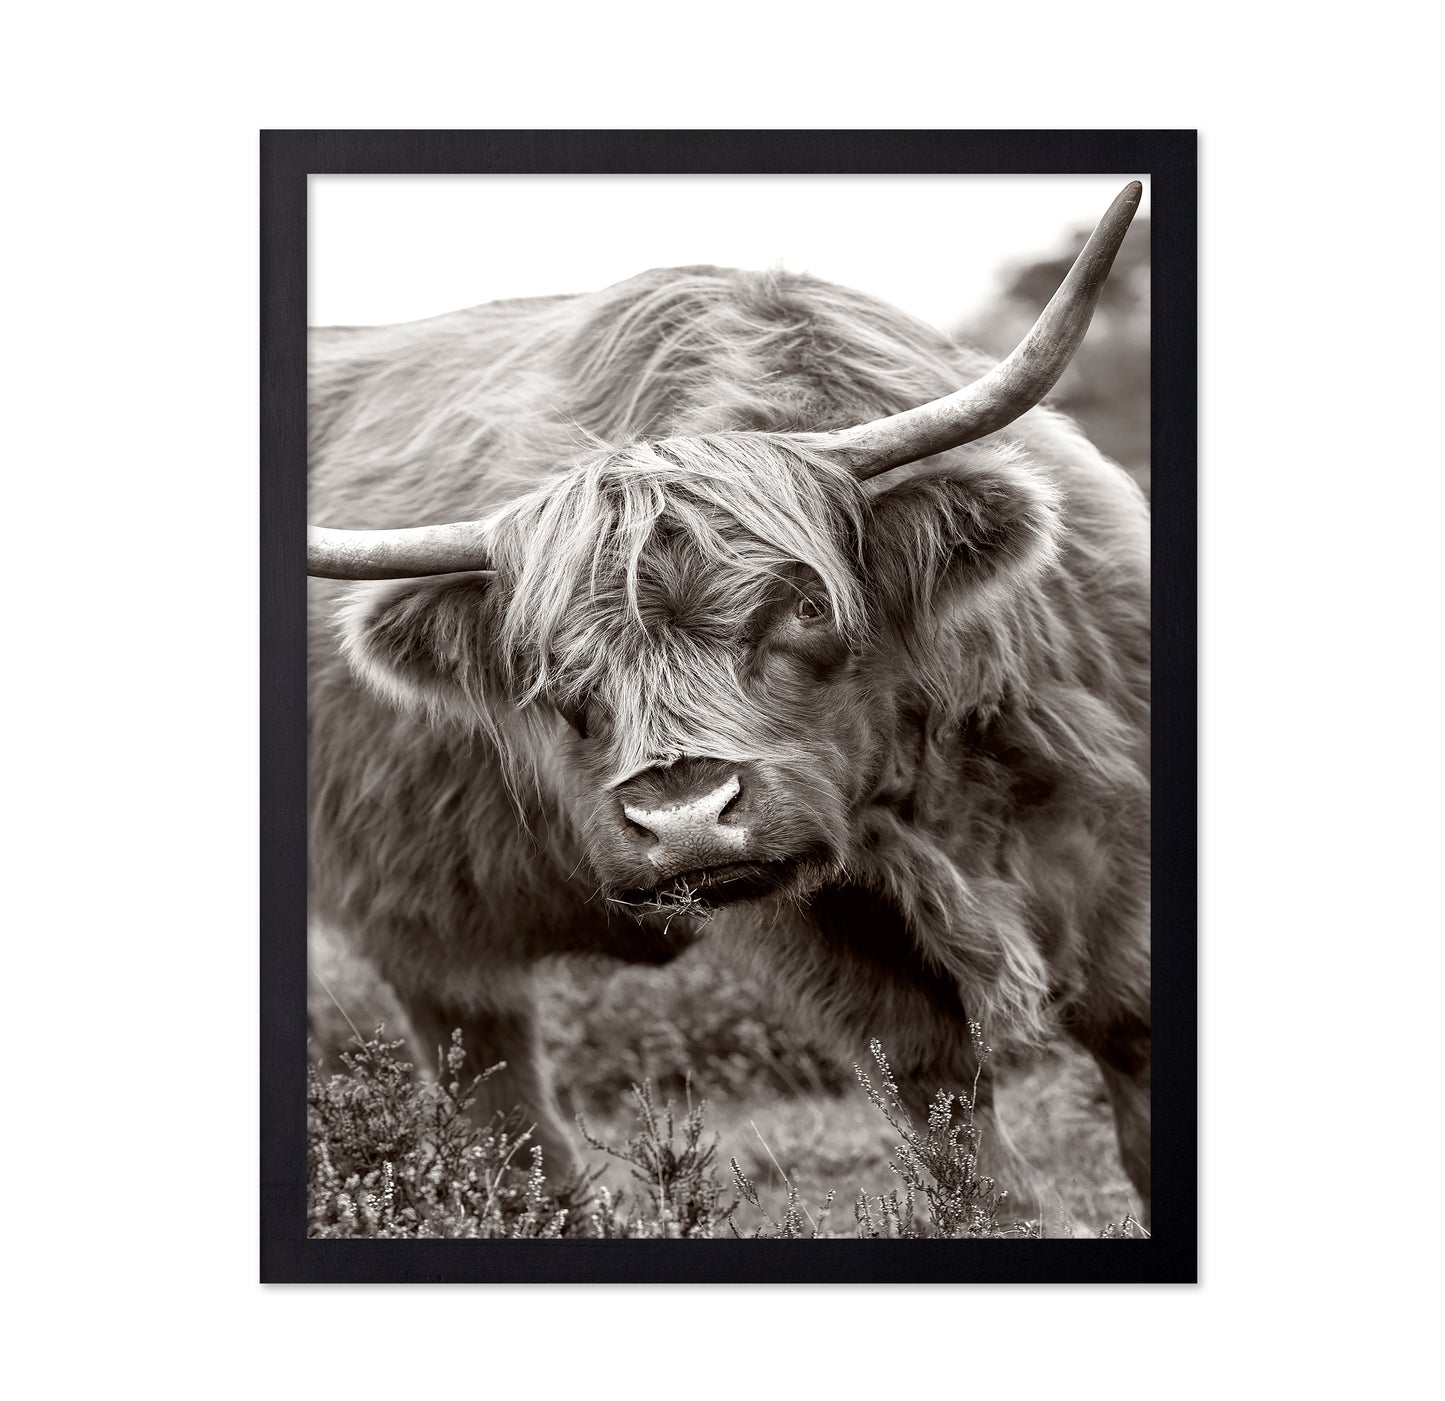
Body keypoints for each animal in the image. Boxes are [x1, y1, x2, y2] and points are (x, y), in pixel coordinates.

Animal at [306, 183, 1151, 1220]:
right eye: (552, 663)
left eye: (804, 605)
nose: (683, 819)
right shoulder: (828, 930)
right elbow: (947, 1110)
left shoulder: (1111, 828)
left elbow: (1131, 1039)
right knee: (500, 1096)